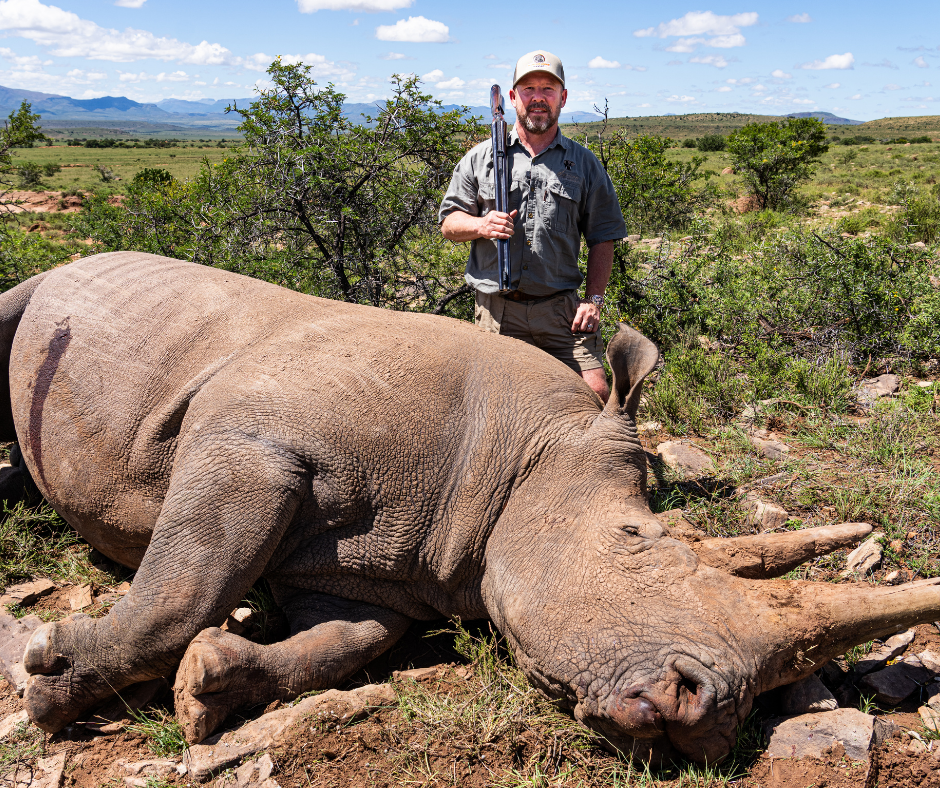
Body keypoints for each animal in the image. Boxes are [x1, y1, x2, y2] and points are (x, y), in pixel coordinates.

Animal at [1, 252, 936, 764]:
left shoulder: (374, 574)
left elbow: (341, 644)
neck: (508, 457)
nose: (707, 711)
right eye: (638, 537)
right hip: (52, 288)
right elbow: (182, 589)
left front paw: (206, 688)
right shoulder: (251, 443)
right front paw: (50, 687)